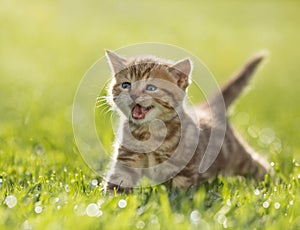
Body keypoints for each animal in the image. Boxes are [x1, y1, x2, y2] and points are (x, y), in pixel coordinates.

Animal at [103, 49, 270, 192]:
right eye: (126, 85)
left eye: (151, 88)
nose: (133, 95)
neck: (149, 133)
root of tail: (208, 110)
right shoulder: (127, 159)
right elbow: (118, 182)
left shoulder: (185, 167)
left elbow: (181, 190)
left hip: (237, 157)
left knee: (259, 165)